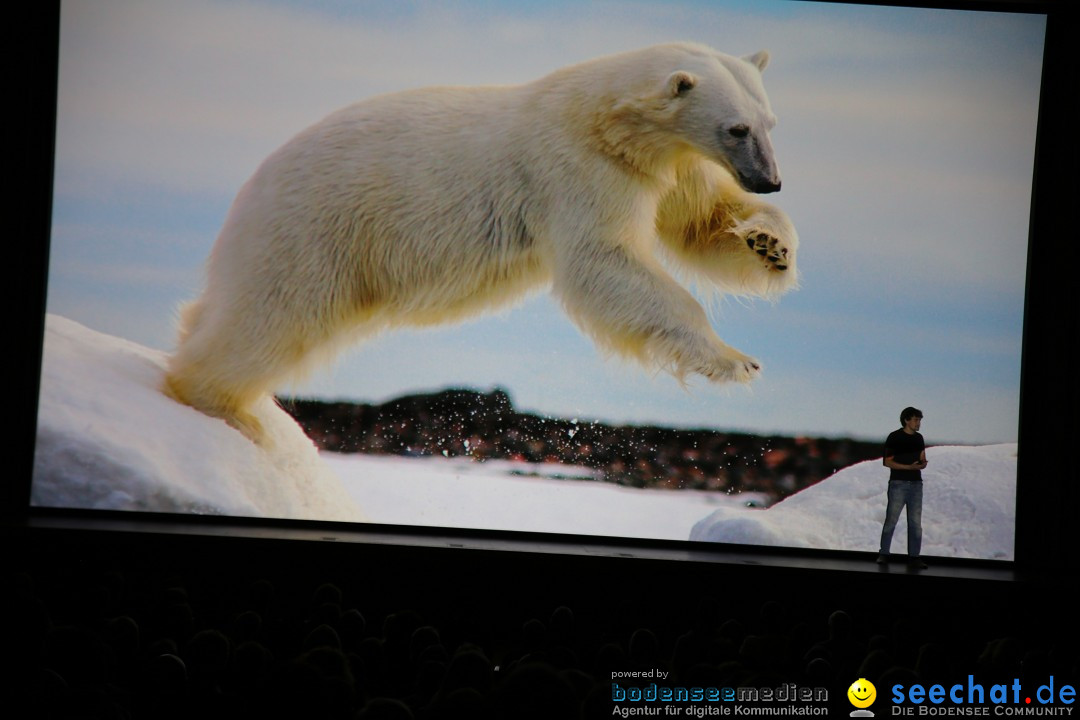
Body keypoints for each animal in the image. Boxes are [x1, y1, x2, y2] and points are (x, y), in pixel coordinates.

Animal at [164, 43, 799, 444]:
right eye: (736, 128)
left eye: (770, 122)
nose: (770, 179)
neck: (606, 120)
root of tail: (250, 190)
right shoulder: (577, 169)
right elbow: (606, 261)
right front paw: (735, 360)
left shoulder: (666, 165)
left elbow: (703, 221)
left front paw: (770, 244)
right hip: (312, 234)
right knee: (272, 319)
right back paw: (227, 408)